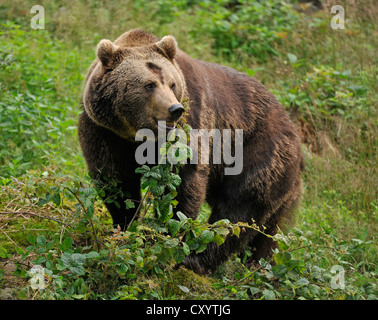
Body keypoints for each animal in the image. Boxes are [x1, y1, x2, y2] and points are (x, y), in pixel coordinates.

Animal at [78, 30, 302, 276]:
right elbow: (116, 181)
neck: (136, 134)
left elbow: (184, 183)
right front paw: (127, 229)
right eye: (149, 84)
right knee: (269, 229)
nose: (174, 109)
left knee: (240, 208)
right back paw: (259, 266)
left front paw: (169, 240)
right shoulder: (105, 132)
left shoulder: (191, 122)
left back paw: (198, 260)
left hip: (258, 147)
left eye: (172, 84)